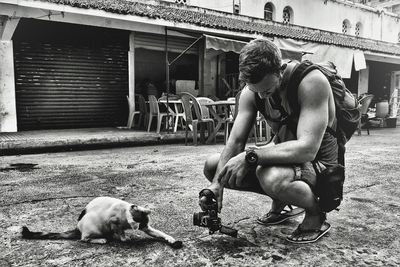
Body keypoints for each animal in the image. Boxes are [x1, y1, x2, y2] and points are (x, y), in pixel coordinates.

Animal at [21, 197, 183, 249]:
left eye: (145, 225)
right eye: (139, 223)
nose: (141, 226)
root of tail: (78, 227)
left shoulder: (147, 227)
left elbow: (160, 233)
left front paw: (170, 239)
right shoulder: (112, 221)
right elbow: (119, 229)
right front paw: (124, 238)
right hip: (93, 228)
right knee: (84, 239)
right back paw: (101, 239)